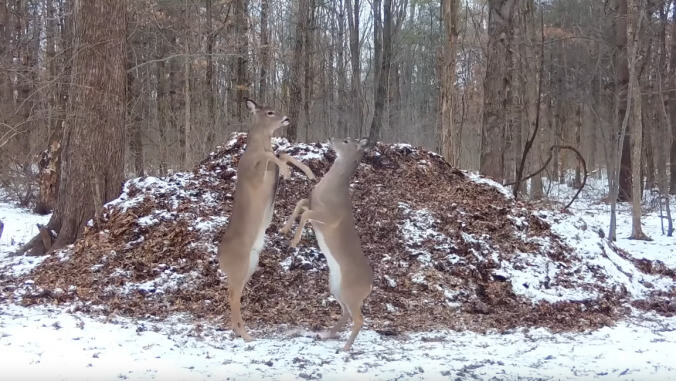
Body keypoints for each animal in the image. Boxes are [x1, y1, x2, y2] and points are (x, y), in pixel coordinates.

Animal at [219, 98, 320, 342]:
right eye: (270, 112)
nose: (287, 118)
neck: (256, 148)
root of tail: (219, 259)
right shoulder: (254, 175)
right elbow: (272, 155)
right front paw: (288, 172)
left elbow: (282, 154)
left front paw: (307, 172)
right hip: (240, 266)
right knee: (233, 296)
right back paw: (246, 335)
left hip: (250, 265)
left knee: (232, 293)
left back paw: (239, 330)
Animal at [280, 136, 374, 350]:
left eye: (347, 140)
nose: (331, 138)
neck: (331, 188)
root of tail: (370, 286)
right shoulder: (313, 202)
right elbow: (300, 203)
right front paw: (284, 229)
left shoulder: (328, 217)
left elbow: (305, 213)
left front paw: (294, 242)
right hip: (336, 287)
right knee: (346, 314)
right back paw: (327, 334)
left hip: (350, 292)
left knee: (359, 319)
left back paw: (345, 348)